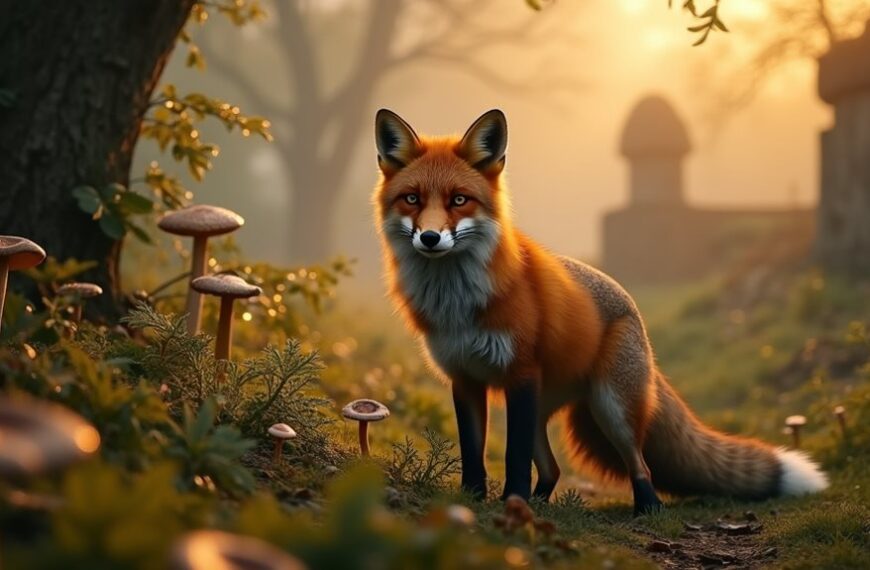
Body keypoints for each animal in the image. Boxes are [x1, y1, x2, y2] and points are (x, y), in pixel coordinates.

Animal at [372, 108, 829, 514]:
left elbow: (514, 457)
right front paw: (474, 499)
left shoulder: (519, 373)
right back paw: (543, 503)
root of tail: (633, 311)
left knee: (640, 465)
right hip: (546, 406)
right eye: (412, 199)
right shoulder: (465, 378)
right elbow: (473, 452)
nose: (430, 238)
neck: (458, 302)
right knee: (553, 469)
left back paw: (646, 508)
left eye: (459, 200)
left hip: (610, 407)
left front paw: (511, 502)